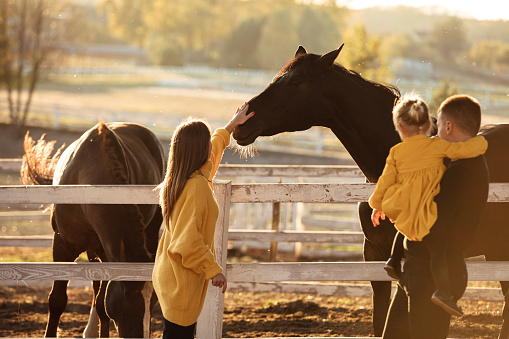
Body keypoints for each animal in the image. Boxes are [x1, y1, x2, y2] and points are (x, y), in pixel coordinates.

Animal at [21, 121, 165, 338]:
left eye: (155, 300)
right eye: (129, 295)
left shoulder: (107, 252)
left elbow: (101, 304)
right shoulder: (62, 245)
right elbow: (57, 300)